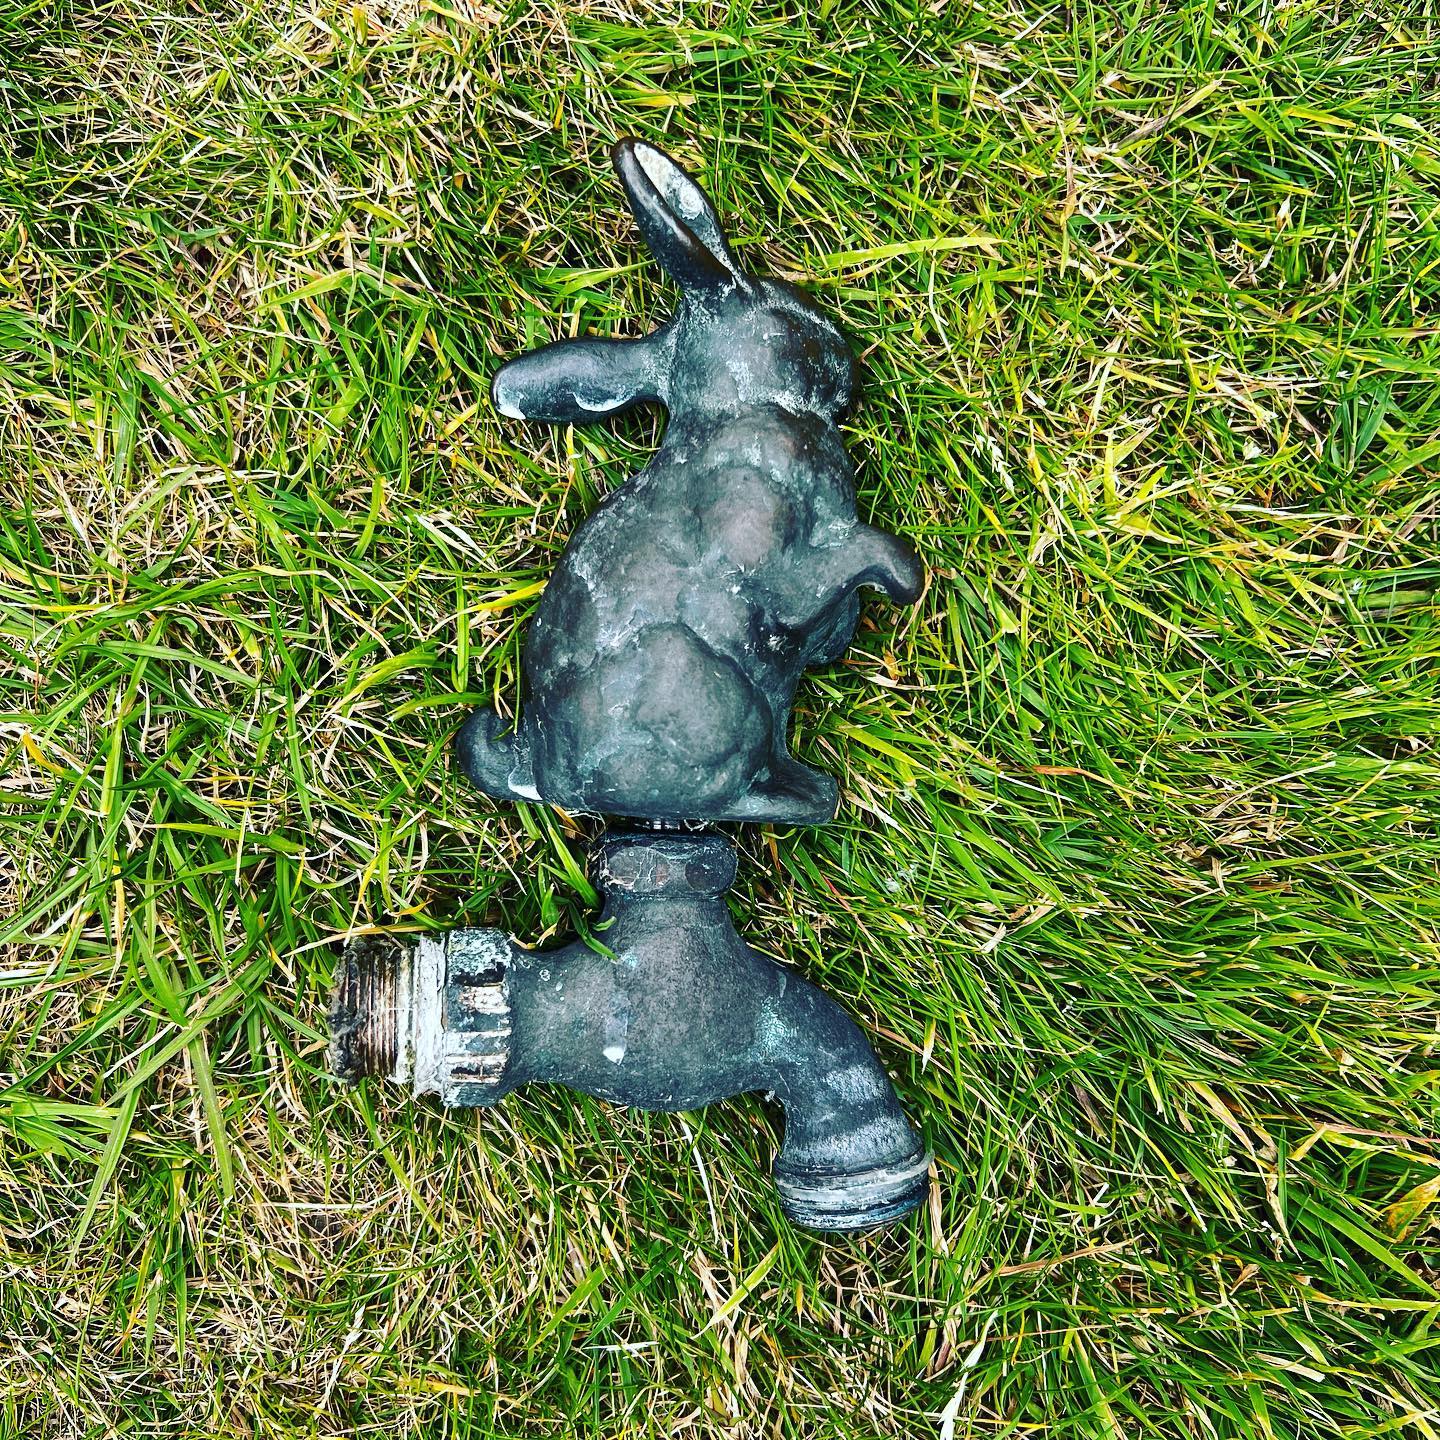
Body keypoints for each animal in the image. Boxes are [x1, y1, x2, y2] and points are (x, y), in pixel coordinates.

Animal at [457, 137, 923, 825]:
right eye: (788, 321)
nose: (848, 368)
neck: (746, 405)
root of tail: (540, 772)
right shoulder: (769, 550)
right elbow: (834, 570)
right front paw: (901, 581)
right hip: (716, 699)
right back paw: (808, 795)